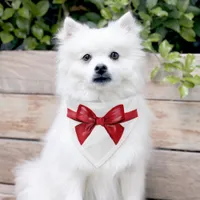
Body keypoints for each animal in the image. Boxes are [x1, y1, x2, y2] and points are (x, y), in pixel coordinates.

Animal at [14, 11, 152, 200]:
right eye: (86, 57)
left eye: (114, 55)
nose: (100, 67)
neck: (101, 111)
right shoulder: (74, 174)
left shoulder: (130, 173)